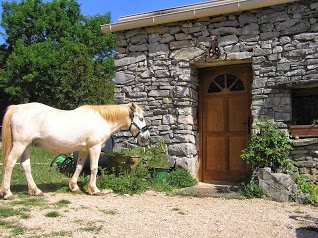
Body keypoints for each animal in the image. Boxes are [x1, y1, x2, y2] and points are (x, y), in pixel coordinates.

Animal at [0, 102, 150, 199]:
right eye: (141, 118)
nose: (147, 137)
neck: (101, 119)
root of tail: (17, 108)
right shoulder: (94, 148)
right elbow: (94, 168)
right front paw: (94, 190)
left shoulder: (83, 150)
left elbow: (79, 167)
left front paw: (74, 187)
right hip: (20, 144)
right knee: (9, 163)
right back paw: (8, 193)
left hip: (27, 145)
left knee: (25, 166)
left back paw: (35, 191)